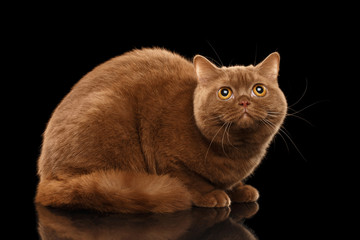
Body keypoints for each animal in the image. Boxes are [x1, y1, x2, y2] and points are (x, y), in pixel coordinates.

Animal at [34, 47, 286, 213]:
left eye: (259, 90)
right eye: (225, 93)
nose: (244, 101)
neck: (237, 152)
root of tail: (46, 178)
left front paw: (239, 190)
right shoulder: (167, 156)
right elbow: (190, 180)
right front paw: (211, 195)